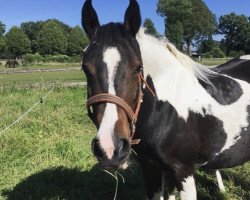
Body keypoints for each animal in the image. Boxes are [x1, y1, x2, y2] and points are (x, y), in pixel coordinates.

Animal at [81, 0, 249, 199]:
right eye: (85, 68)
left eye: (138, 68)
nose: (109, 149)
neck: (166, 111)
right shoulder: (150, 168)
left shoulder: (184, 171)